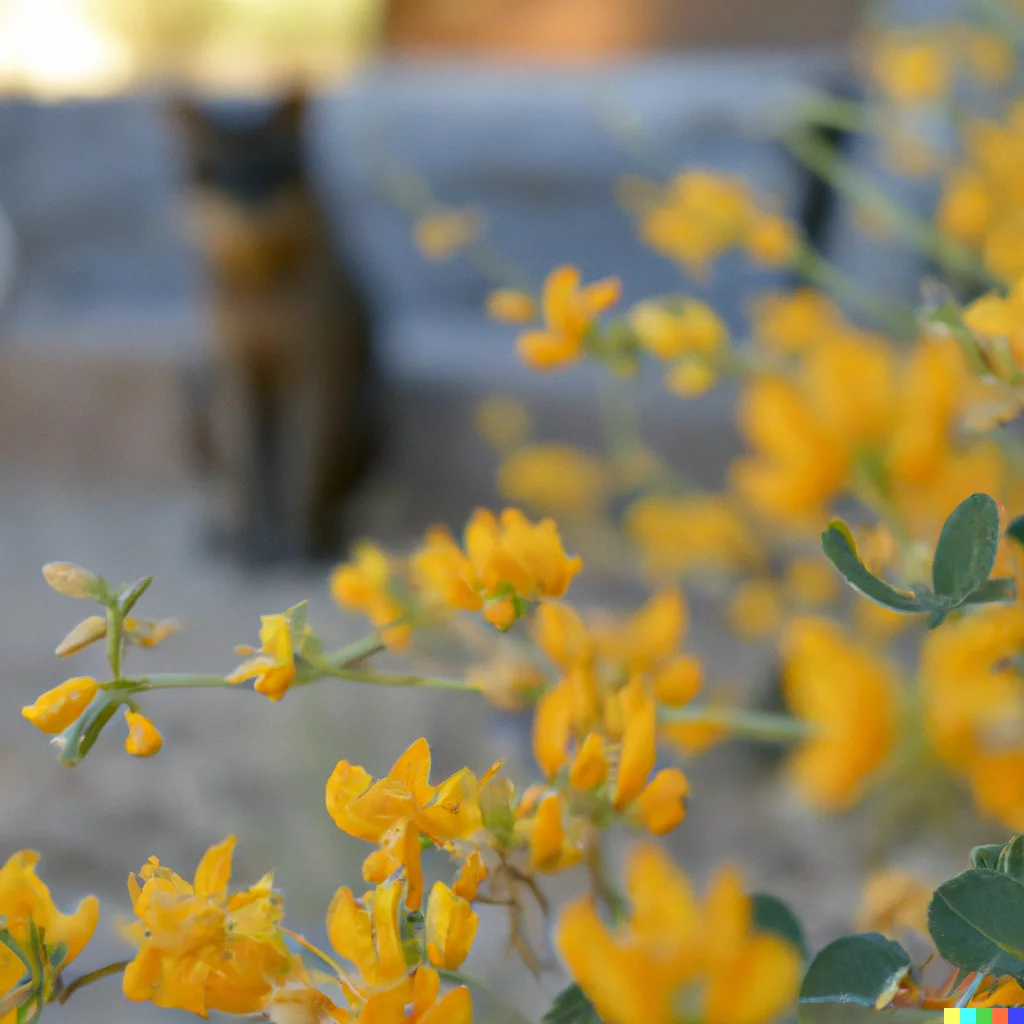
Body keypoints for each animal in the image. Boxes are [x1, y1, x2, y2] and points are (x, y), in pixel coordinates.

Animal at [172, 92, 380, 565]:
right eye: (219, 172)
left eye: (270, 168)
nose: (249, 202)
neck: (260, 289)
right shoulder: (233, 369)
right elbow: (247, 473)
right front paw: (252, 549)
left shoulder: (317, 368)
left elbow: (301, 471)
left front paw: (294, 550)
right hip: (196, 393)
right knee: (227, 479)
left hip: (364, 413)